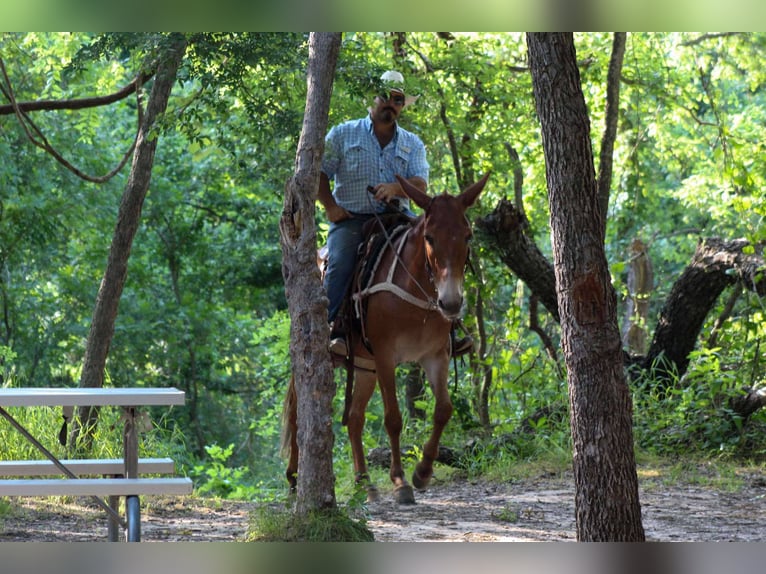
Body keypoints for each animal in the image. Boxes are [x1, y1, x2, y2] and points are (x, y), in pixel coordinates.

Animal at [282, 172, 489, 504]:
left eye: (468, 235)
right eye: (429, 237)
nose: (451, 302)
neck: (416, 291)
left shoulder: (435, 356)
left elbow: (443, 410)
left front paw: (422, 472)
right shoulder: (385, 356)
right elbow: (393, 418)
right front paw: (400, 481)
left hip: (364, 366)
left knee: (354, 418)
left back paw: (365, 482)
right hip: (319, 358)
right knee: (296, 412)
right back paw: (293, 478)